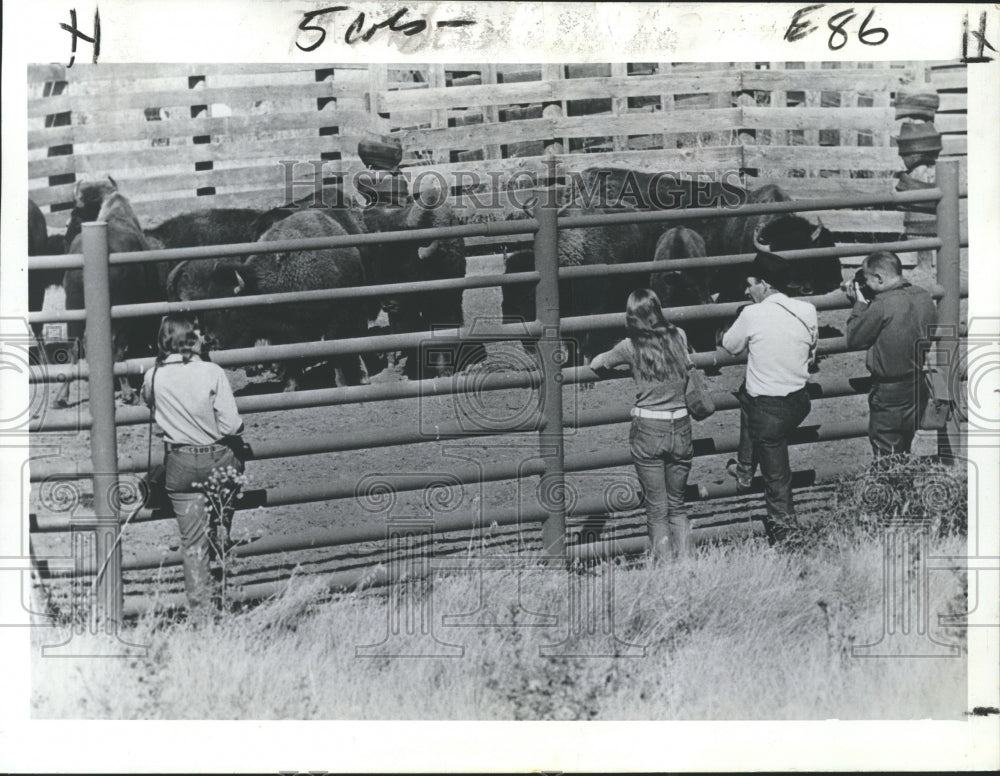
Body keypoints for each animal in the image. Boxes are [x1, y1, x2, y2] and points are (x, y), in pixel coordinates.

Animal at [167, 210, 369, 391]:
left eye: (227, 310)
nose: (210, 340)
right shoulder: (284, 333)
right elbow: (291, 357)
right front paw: (290, 387)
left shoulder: (333, 320)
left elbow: (335, 351)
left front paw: (341, 383)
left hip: (355, 311)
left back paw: (362, 376)